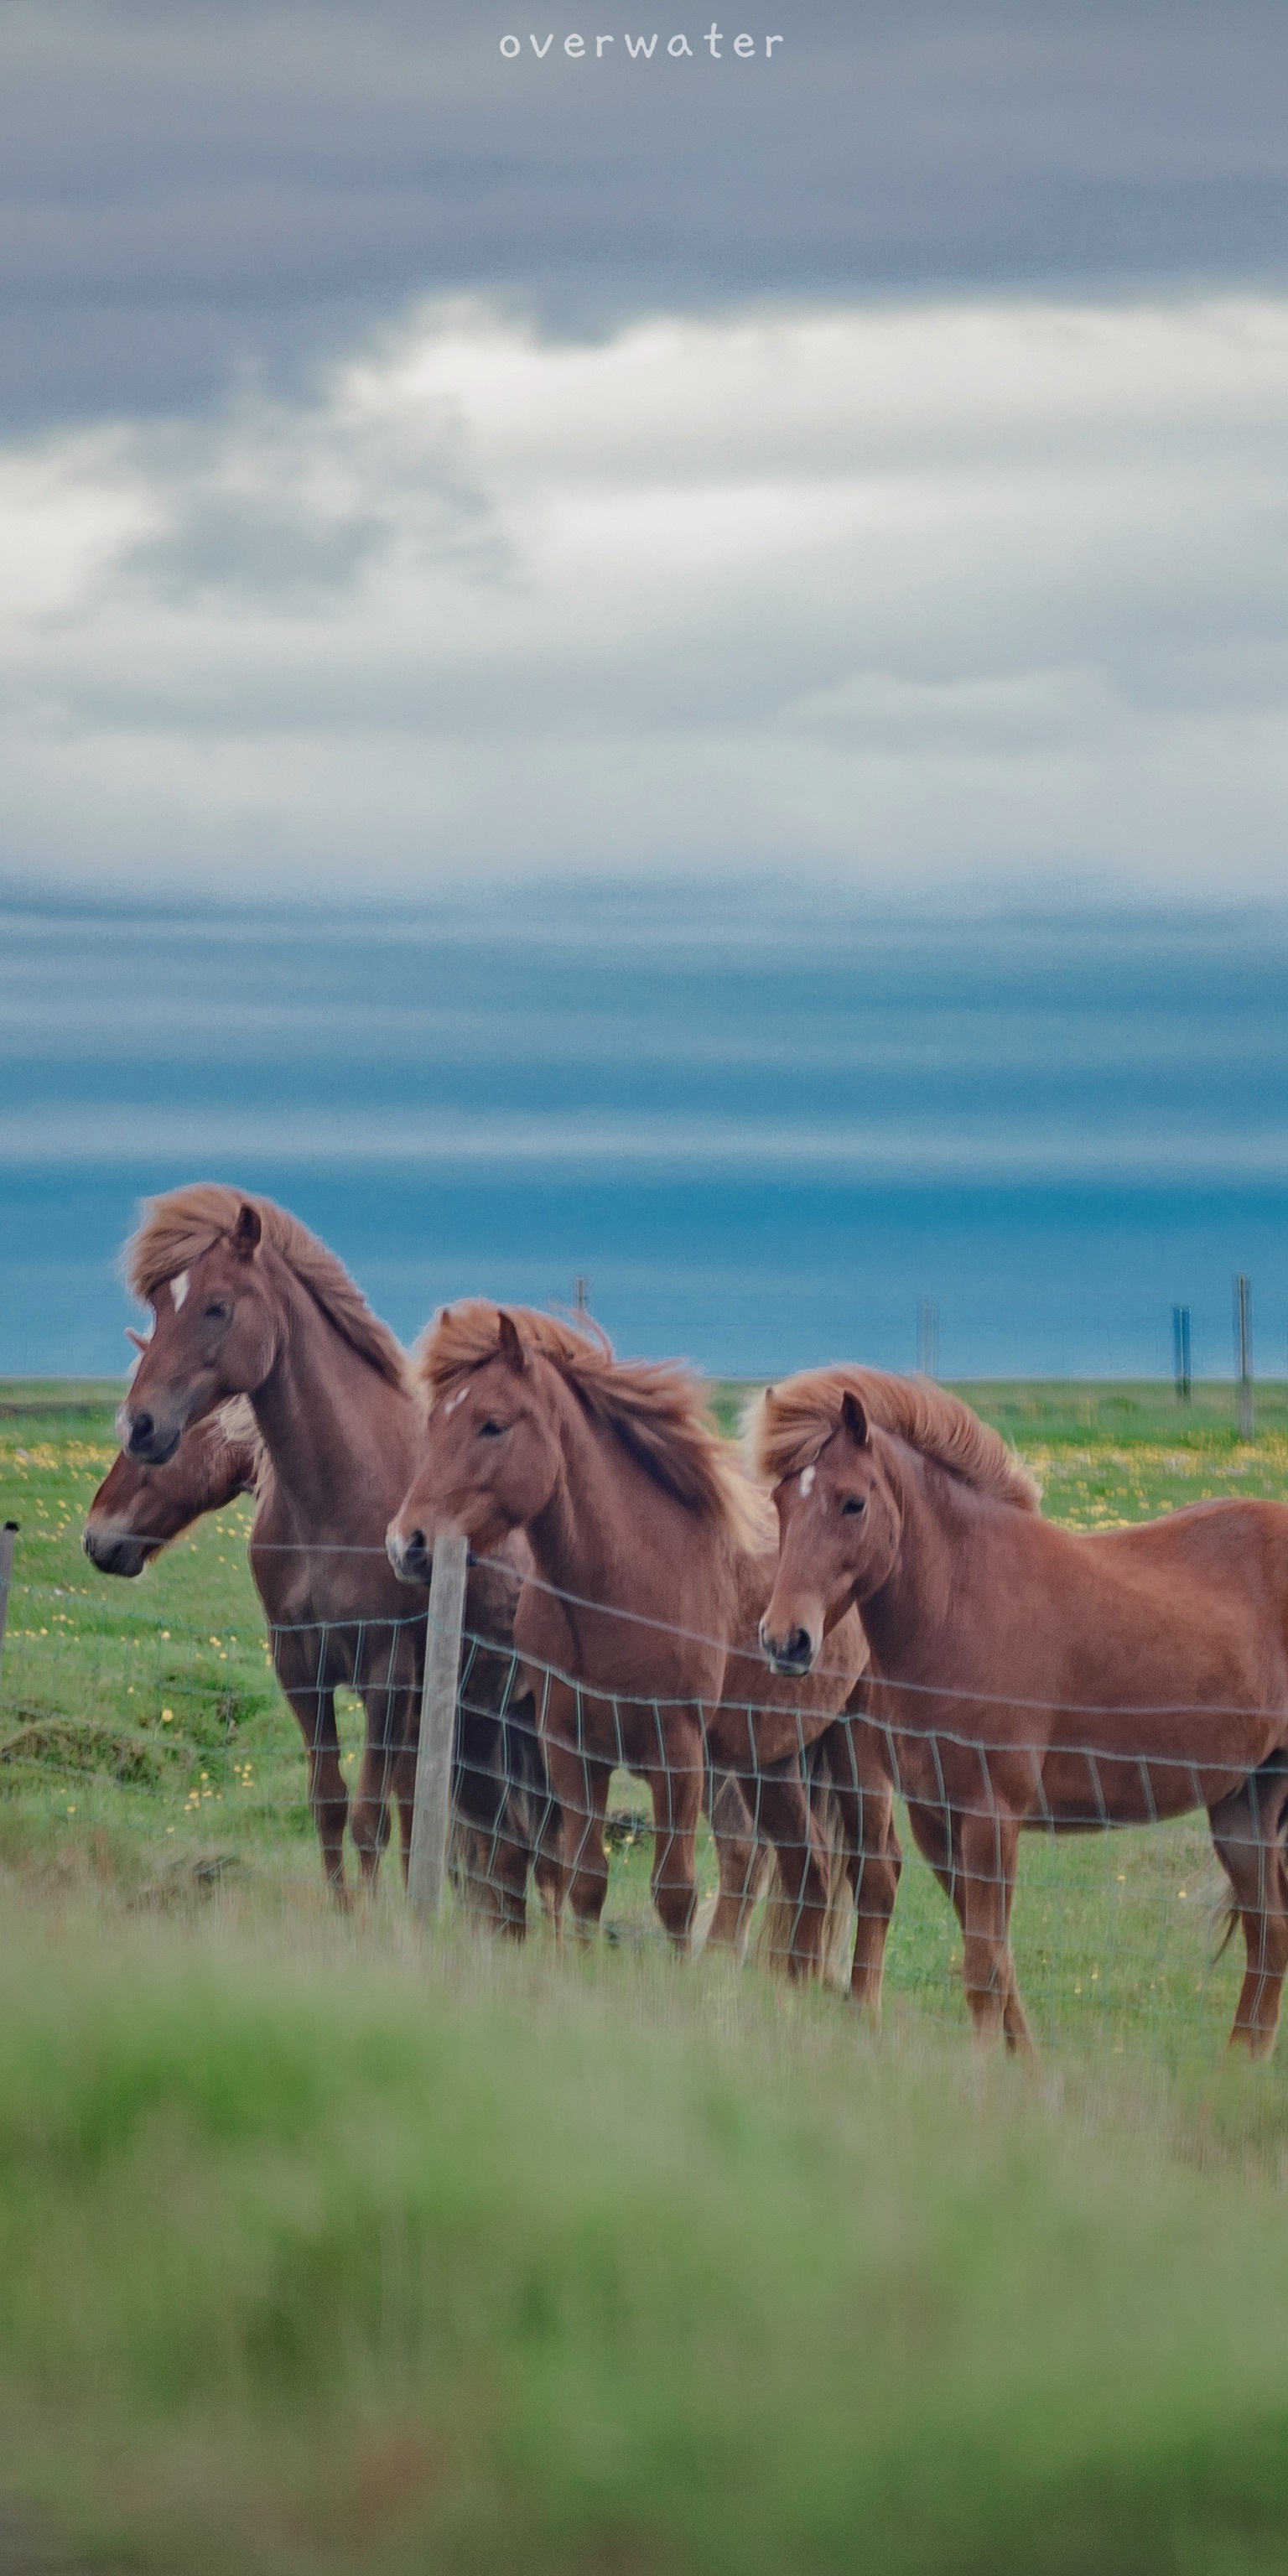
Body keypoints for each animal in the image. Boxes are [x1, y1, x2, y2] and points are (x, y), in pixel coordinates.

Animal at [112, 1185, 548, 1916]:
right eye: (161, 1306)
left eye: (216, 1306)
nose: (141, 1427)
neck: (337, 1493)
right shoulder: (300, 1669)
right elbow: (332, 1805)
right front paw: (349, 1919)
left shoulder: (387, 1676)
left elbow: (375, 1817)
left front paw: (375, 1925)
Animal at [381, 1298, 896, 1978]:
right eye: (435, 1420)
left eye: (492, 1424)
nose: (406, 1543)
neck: (623, 1588)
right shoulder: (570, 1748)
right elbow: (584, 1879)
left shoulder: (677, 1756)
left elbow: (674, 1892)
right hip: (774, 1760)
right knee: (807, 1869)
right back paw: (792, 1991)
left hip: (859, 1752)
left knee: (876, 1879)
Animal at [752, 1370, 1288, 2050]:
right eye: (780, 1502)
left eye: (852, 1502)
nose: (784, 1641)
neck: (963, 1603)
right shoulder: (936, 1820)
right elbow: (997, 1962)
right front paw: (1022, 2066)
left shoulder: (991, 1818)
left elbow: (983, 1967)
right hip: (1245, 1804)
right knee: (1270, 1934)